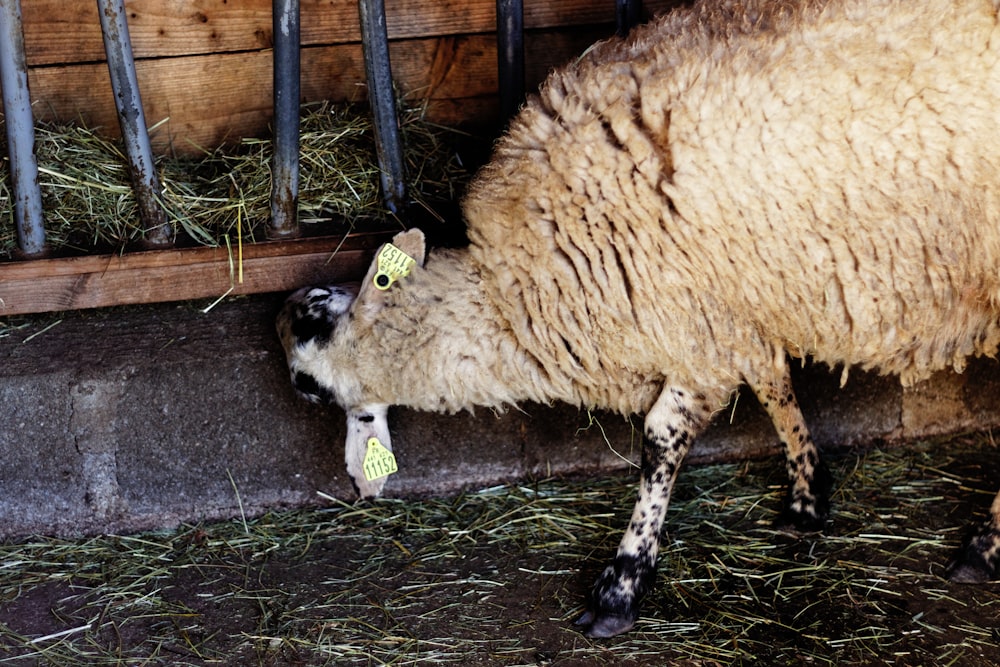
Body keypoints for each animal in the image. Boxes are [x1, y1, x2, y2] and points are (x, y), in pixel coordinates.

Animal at [278, 0, 1000, 640]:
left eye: (306, 368)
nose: (285, 309)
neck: (512, 294)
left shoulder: (685, 317)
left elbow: (659, 441)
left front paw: (621, 585)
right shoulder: (730, 310)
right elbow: (774, 383)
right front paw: (806, 493)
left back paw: (983, 547)